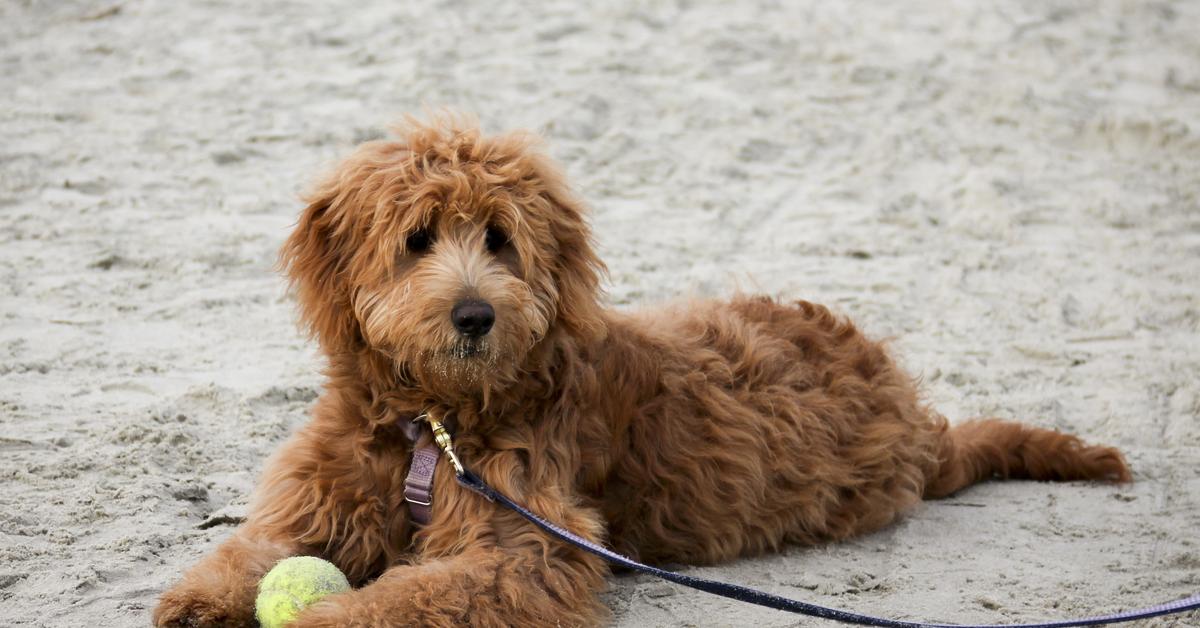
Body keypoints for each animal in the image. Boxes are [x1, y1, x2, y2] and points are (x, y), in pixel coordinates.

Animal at [154, 117, 1128, 628]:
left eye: (500, 240)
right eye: (418, 238)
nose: (474, 315)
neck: (433, 421)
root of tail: (916, 421)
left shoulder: (526, 543)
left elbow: (408, 595)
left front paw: (320, 613)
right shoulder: (322, 496)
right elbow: (258, 548)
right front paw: (202, 597)